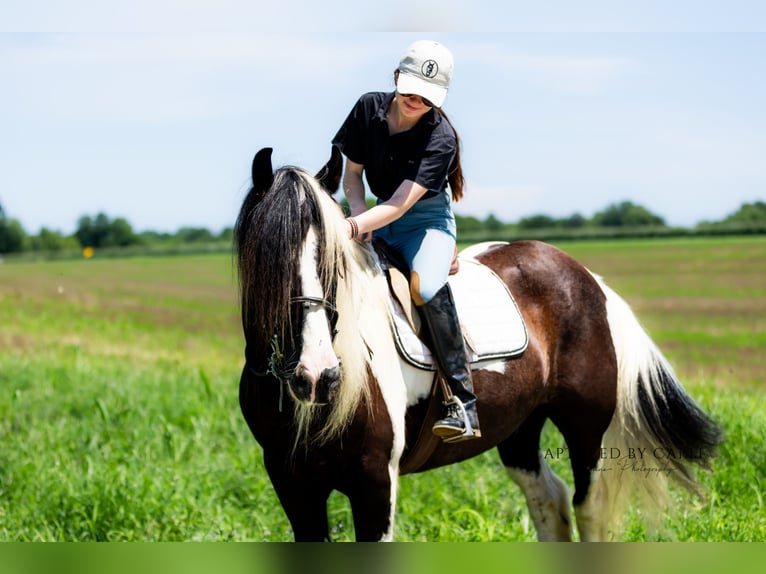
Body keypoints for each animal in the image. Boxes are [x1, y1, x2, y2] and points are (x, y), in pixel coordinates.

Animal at [234, 146, 723, 542]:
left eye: (334, 262)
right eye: (267, 258)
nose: (318, 377)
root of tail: (586, 278)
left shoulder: (374, 481)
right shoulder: (292, 483)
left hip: (587, 430)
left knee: (590, 509)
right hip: (520, 428)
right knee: (550, 501)